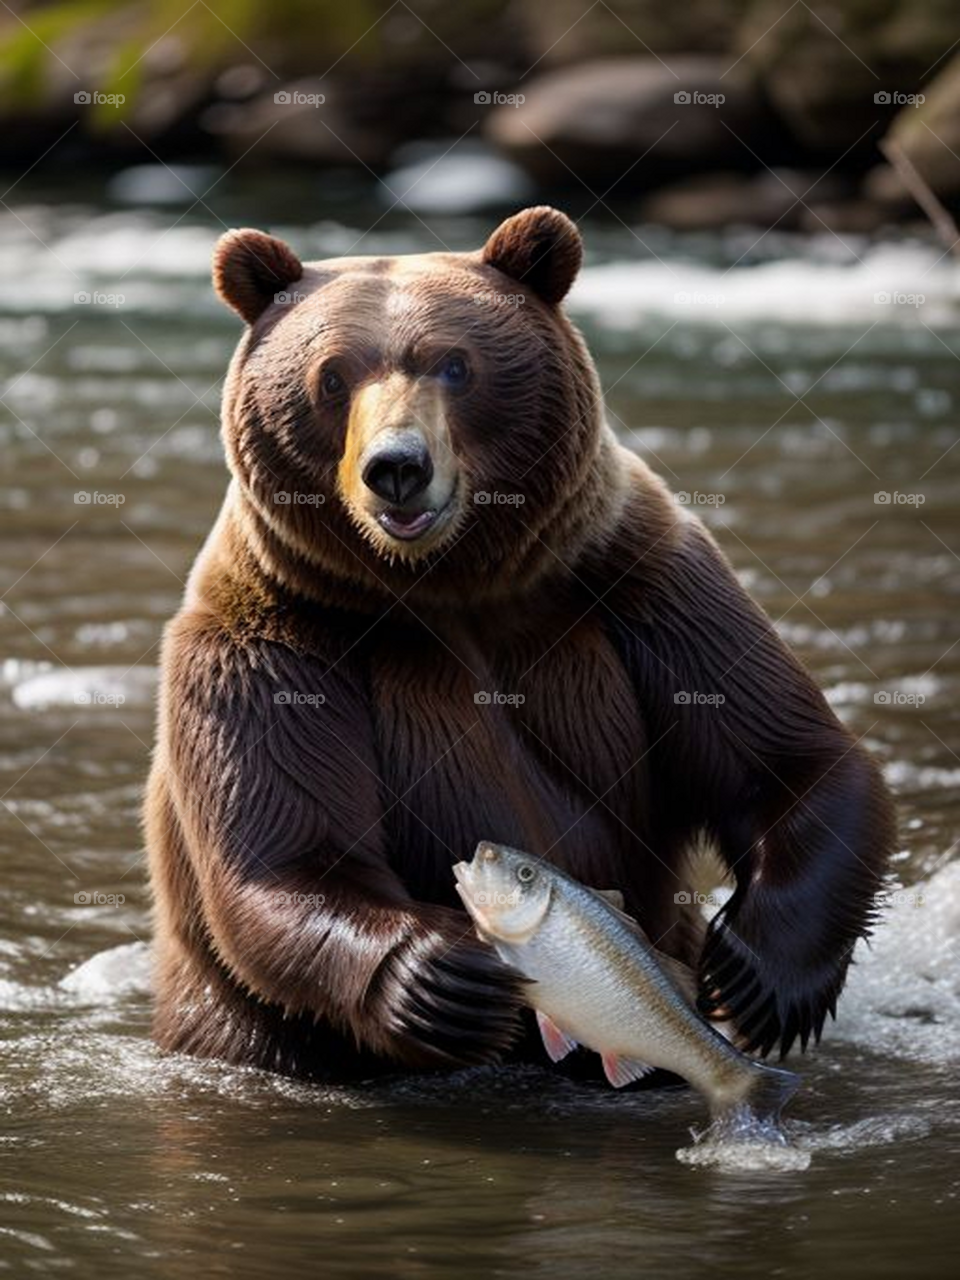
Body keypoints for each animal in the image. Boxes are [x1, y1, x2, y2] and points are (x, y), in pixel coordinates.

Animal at [145, 206, 895, 1080]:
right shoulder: (272, 638)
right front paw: (441, 978)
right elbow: (288, 848)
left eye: (455, 364)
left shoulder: (640, 582)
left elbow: (787, 757)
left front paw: (757, 976)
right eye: (331, 377)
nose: (396, 467)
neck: (451, 585)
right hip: (242, 1028)